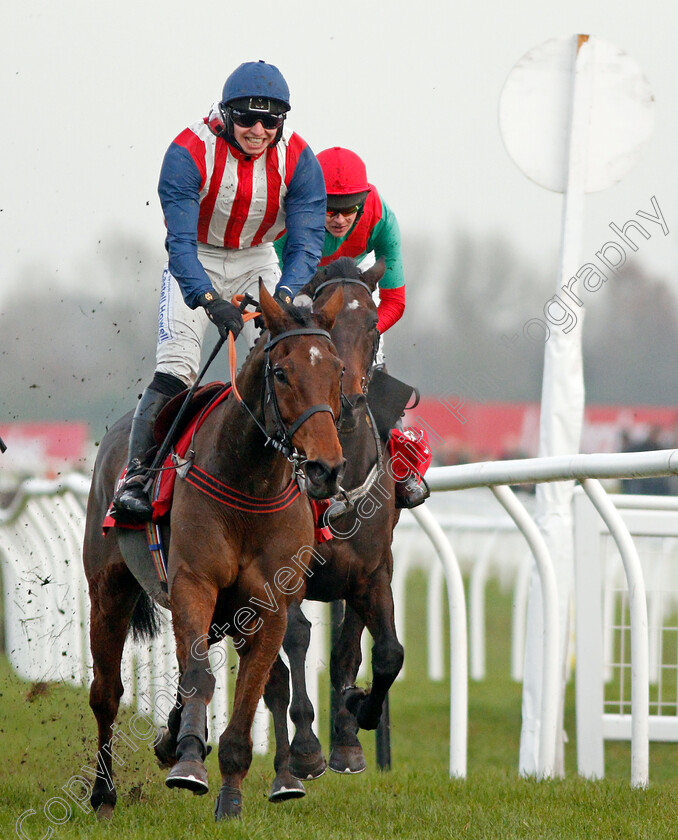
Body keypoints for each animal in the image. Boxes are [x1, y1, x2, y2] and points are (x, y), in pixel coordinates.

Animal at [83, 284, 346, 820]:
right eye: (282, 372)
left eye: (338, 372)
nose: (326, 469)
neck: (249, 483)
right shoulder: (194, 584)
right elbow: (199, 677)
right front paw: (188, 762)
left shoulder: (267, 602)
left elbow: (251, 692)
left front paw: (231, 795)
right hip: (109, 589)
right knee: (106, 693)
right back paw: (105, 793)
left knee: (263, 677)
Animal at [262, 258, 404, 800]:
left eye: (373, 325)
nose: (347, 399)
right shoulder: (282, 578)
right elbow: (298, 640)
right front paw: (306, 748)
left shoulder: (371, 571)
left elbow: (380, 653)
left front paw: (354, 720)